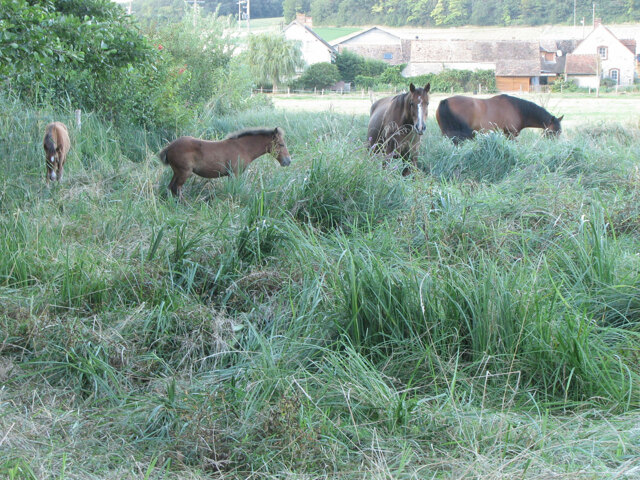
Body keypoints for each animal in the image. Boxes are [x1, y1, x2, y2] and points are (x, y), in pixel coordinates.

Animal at [159, 127, 292, 199]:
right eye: (281, 144)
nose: (288, 161)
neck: (243, 148)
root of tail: (169, 147)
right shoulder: (235, 173)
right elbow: (234, 190)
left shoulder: (230, 175)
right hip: (184, 172)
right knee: (177, 188)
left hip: (177, 172)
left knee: (170, 187)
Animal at [436, 94, 564, 144]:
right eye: (551, 132)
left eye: (560, 132)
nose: (554, 145)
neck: (517, 109)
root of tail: (445, 101)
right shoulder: (510, 134)